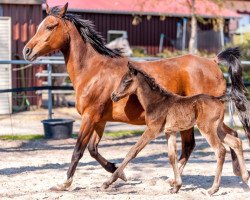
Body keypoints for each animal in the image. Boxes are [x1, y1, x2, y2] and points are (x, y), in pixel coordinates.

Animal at [102, 61, 250, 195]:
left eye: (127, 81)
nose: (113, 96)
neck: (156, 102)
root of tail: (218, 99)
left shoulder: (152, 130)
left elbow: (132, 151)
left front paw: (108, 182)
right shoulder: (170, 132)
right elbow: (172, 157)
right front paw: (176, 186)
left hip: (206, 128)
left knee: (220, 150)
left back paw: (213, 189)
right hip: (217, 129)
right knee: (236, 142)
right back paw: (245, 177)